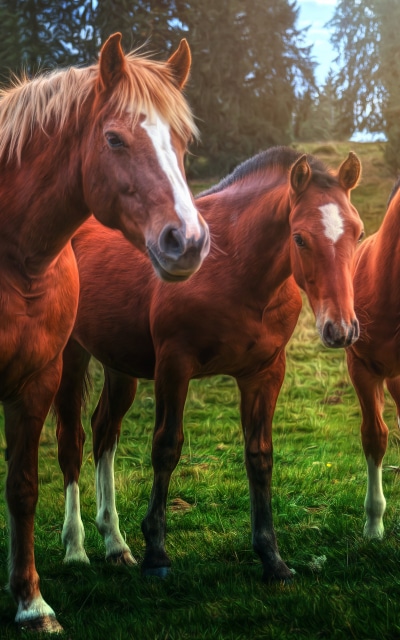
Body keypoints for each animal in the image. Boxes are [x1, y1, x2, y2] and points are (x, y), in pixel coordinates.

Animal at [0, 33, 209, 633]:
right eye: (114, 138)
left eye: (182, 142)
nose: (187, 241)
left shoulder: (34, 381)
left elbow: (23, 487)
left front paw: (31, 603)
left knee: (92, 436)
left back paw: (109, 544)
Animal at [54, 146, 363, 589]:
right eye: (300, 237)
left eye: (357, 233)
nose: (340, 329)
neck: (233, 266)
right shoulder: (174, 365)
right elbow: (166, 447)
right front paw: (156, 553)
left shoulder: (265, 373)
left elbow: (260, 456)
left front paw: (272, 558)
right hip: (71, 355)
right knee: (71, 440)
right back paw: (75, 548)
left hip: (119, 365)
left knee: (104, 432)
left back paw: (115, 544)